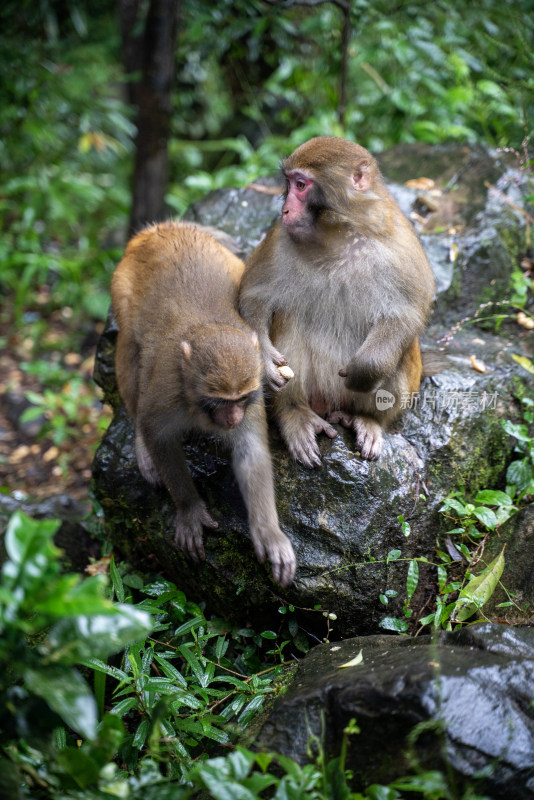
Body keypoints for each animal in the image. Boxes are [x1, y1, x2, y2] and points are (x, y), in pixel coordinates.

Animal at [112, 222, 298, 584]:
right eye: (218, 399)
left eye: (239, 398)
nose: (233, 417)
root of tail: (162, 229)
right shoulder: (167, 389)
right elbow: (158, 436)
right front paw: (189, 509)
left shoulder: (254, 389)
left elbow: (251, 453)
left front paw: (268, 533)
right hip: (121, 283)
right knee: (128, 344)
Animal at [241, 135, 438, 466]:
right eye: (289, 183)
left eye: (301, 185)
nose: (285, 210)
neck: (339, 235)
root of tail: (330, 406)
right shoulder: (280, 238)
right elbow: (253, 296)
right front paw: (264, 360)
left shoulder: (400, 243)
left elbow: (409, 314)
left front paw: (366, 368)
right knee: (290, 317)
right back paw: (295, 414)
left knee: (401, 350)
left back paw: (367, 419)